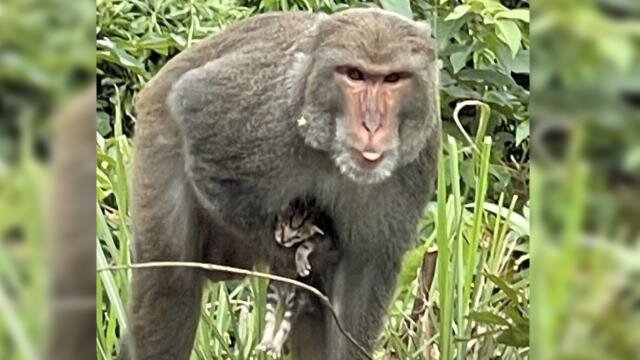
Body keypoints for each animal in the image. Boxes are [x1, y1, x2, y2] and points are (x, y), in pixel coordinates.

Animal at [126, 7, 440, 360]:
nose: (371, 125)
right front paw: (297, 251)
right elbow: (192, 109)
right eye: (354, 75)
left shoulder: (417, 158)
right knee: (170, 282)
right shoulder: (264, 113)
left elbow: (363, 275)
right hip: (158, 135)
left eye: (392, 79)